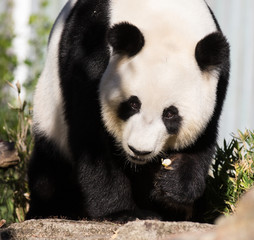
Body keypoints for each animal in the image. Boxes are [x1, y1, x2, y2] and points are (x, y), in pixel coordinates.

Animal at [26, 0, 230, 222]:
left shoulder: (218, 79)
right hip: (49, 117)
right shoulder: (91, 50)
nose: (139, 150)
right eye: (133, 104)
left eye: (170, 114)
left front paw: (174, 186)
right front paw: (121, 212)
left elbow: (203, 136)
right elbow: (92, 136)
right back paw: (53, 210)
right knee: (49, 171)